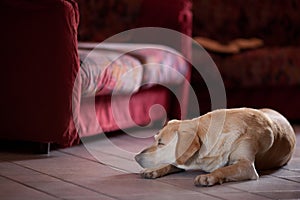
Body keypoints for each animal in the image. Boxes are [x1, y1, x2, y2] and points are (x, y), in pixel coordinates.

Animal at [135, 108, 296, 186]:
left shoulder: (246, 165)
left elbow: (224, 169)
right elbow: (170, 163)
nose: (136, 157)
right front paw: (153, 170)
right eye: (155, 139)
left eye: (161, 143)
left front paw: (209, 177)